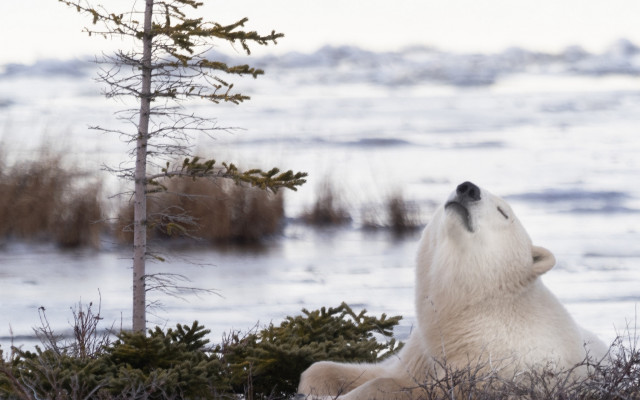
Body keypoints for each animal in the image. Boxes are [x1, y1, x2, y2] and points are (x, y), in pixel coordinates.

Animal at [298, 181, 609, 399]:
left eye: (503, 212)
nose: (468, 188)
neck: (477, 309)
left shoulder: (493, 368)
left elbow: (402, 386)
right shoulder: (420, 352)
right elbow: (374, 369)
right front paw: (311, 382)